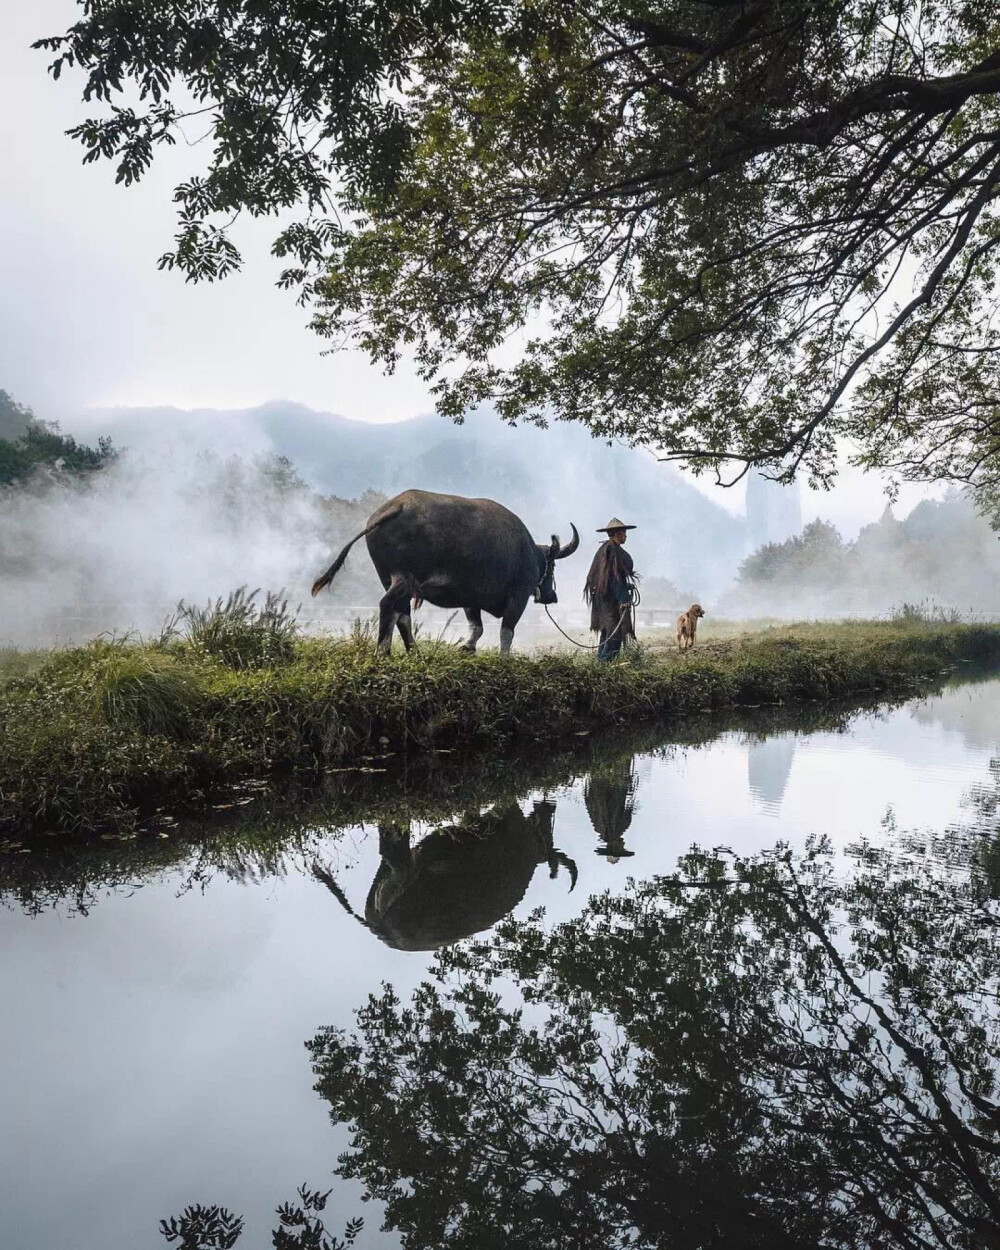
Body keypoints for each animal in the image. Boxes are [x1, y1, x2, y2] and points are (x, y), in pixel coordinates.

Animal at [310, 487, 577, 655]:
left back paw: (414, 652)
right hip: (403, 579)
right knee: (389, 607)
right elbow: (506, 631)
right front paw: (504, 658)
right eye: (552, 565)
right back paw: (383, 652)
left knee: (401, 614)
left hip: (390, 579)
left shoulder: (471, 599)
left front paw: (467, 648)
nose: (552, 596)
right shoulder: (518, 596)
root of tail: (397, 506)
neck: (527, 552)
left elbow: (476, 627)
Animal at [312, 800, 577, 945]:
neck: (531, 844)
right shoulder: (506, 812)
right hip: (407, 870)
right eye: (546, 837)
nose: (549, 807)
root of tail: (383, 931)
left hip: (382, 880)